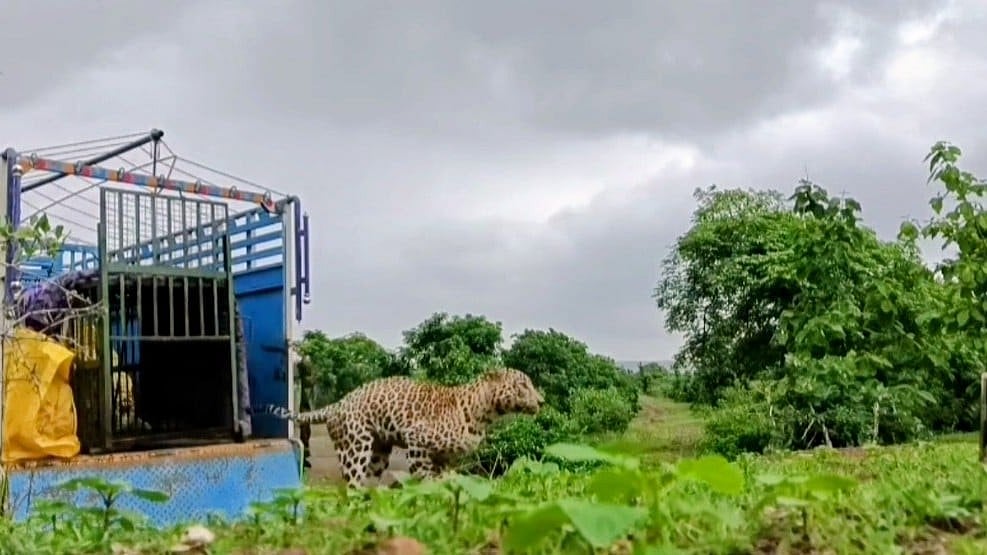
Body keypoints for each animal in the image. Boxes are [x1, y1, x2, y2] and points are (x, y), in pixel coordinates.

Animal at [251, 367, 543, 487]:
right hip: (356, 447)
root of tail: (338, 403)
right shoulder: (417, 442)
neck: (485, 413)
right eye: (523, 385)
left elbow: (446, 479)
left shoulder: (446, 458)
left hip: (379, 452)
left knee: (368, 478)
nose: (541, 401)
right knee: (351, 482)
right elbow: (425, 477)